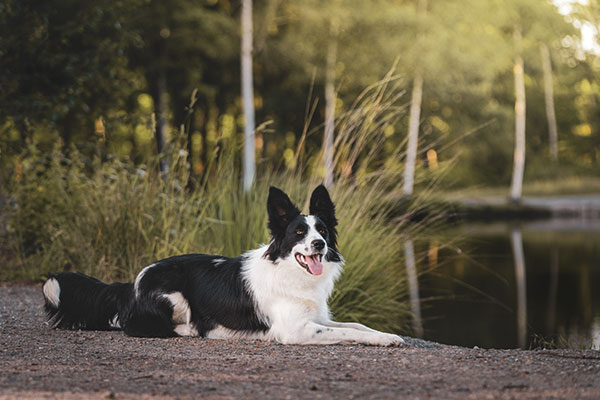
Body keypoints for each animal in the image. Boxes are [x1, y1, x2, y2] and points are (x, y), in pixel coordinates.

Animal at [42, 186, 406, 346]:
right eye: (299, 233)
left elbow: (357, 325)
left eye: (324, 231)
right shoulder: (296, 330)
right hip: (173, 294)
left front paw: (389, 334)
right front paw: (385, 340)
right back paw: (193, 329)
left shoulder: (318, 317)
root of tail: (130, 284)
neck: (290, 271)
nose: (319, 245)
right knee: (139, 326)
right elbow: (346, 332)